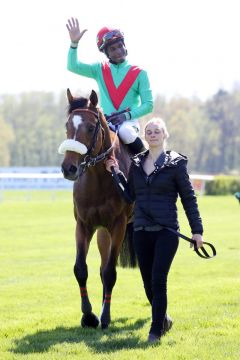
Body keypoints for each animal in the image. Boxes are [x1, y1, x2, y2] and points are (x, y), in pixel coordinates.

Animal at [57, 89, 134, 330]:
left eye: (90, 128)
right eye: (67, 126)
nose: (69, 168)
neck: (99, 176)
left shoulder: (118, 225)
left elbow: (110, 272)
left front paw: (105, 317)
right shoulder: (84, 225)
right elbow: (81, 269)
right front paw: (89, 315)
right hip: (102, 233)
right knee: (100, 266)